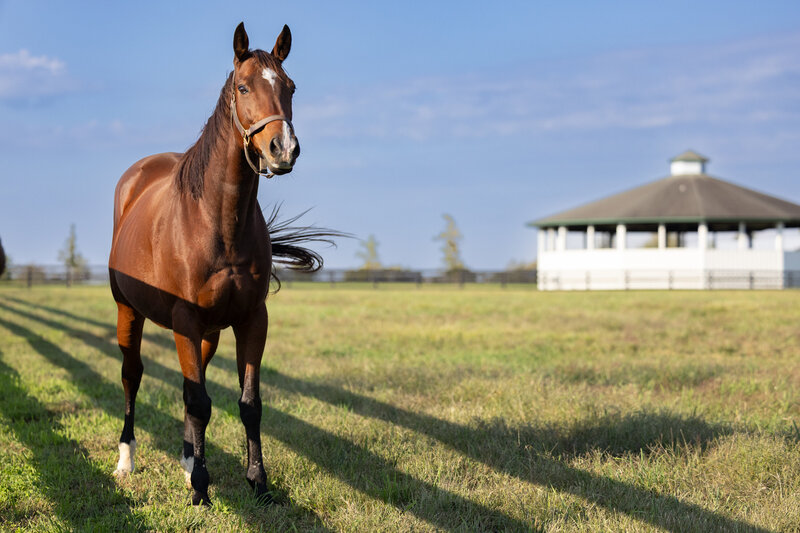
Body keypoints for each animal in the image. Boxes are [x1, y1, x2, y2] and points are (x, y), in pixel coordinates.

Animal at [109, 22, 308, 506]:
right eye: (243, 86)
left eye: (291, 87)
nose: (283, 149)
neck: (217, 220)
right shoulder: (185, 319)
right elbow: (198, 400)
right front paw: (200, 486)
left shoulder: (251, 319)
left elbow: (247, 404)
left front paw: (257, 481)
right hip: (130, 312)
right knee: (132, 376)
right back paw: (127, 460)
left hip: (209, 334)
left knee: (188, 392)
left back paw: (186, 460)